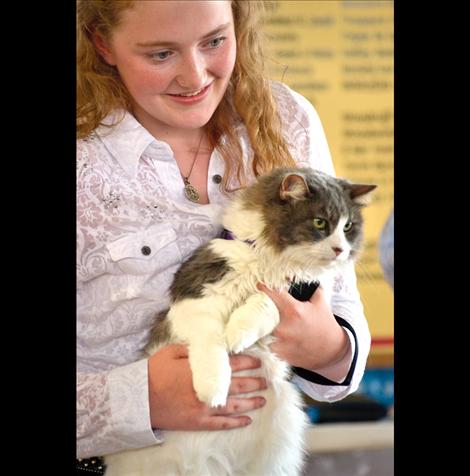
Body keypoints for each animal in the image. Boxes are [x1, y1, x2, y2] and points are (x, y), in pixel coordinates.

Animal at [104, 167, 376, 476]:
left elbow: (265, 302)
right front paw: (213, 390)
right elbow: (212, 345)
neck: (270, 261)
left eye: (348, 227)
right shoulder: (196, 297)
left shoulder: (302, 293)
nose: (341, 250)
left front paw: (238, 332)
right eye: (321, 222)